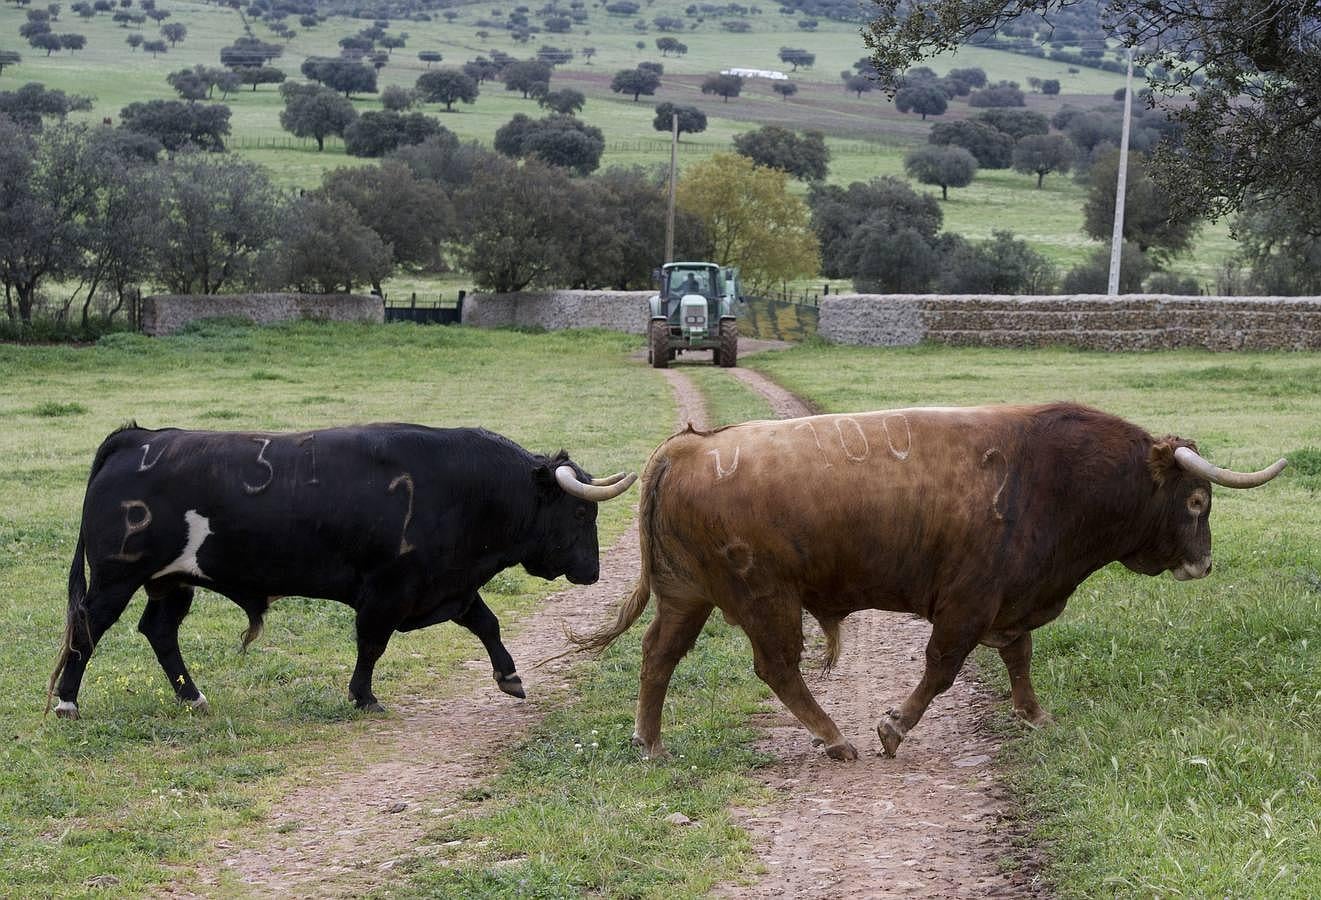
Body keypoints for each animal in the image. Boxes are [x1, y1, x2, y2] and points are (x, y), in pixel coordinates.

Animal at [46, 420, 634, 713]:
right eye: (581, 511)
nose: (592, 572)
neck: (466, 489)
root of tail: (140, 438)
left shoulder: (450, 585)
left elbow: (487, 624)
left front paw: (509, 676)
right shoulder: (387, 591)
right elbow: (371, 645)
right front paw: (363, 696)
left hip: (170, 582)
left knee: (159, 631)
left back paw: (193, 698)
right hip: (117, 577)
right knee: (89, 628)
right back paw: (68, 703)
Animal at [573, 399, 1284, 755]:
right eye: (1197, 501)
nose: (1203, 563)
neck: (1057, 478)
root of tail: (691, 445)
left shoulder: (1009, 598)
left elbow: (1020, 659)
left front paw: (1035, 716)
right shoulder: (968, 603)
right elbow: (941, 669)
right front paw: (893, 728)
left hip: (686, 595)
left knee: (659, 655)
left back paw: (650, 742)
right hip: (765, 598)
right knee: (776, 667)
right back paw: (836, 739)